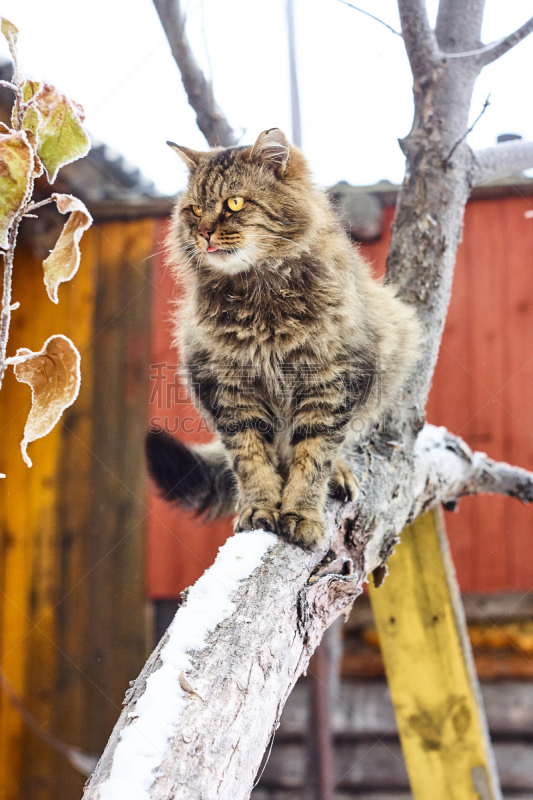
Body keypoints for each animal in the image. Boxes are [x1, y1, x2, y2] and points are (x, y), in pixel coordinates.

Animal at [145, 128, 420, 552]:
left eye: (234, 203)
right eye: (194, 209)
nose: (203, 232)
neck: (261, 300)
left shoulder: (330, 384)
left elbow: (313, 457)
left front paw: (301, 514)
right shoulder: (230, 391)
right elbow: (251, 460)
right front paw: (259, 508)